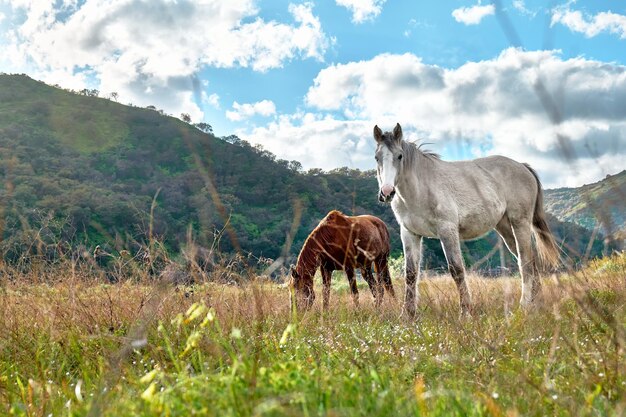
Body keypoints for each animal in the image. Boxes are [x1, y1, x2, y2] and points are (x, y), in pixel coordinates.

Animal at [372, 122, 560, 316]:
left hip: (520, 223)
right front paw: (407, 315)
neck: (420, 189)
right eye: (377, 157)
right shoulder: (410, 233)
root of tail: (522, 166)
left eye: (399, 156)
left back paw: (525, 305)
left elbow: (456, 269)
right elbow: (410, 273)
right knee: (531, 261)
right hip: (505, 228)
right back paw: (536, 303)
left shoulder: (447, 230)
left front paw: (466, 312)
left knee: (526, 261)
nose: (387, 192)